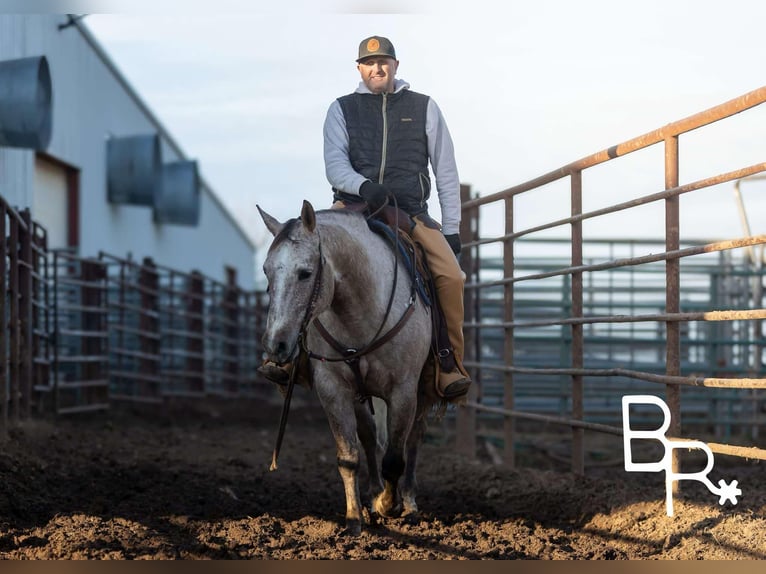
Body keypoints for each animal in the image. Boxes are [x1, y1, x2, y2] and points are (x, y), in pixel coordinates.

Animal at [258, 200, 440, 536]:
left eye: (305, 273)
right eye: (266, 271)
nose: (276, 345)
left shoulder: (404, 391)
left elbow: (395, 457)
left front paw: (388, 505)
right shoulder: (333, 389)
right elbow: (348, 457)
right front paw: (355, 518)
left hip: (423, 390)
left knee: (414, 438)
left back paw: (407, 501)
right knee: (368, 436)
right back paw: (374, 492)